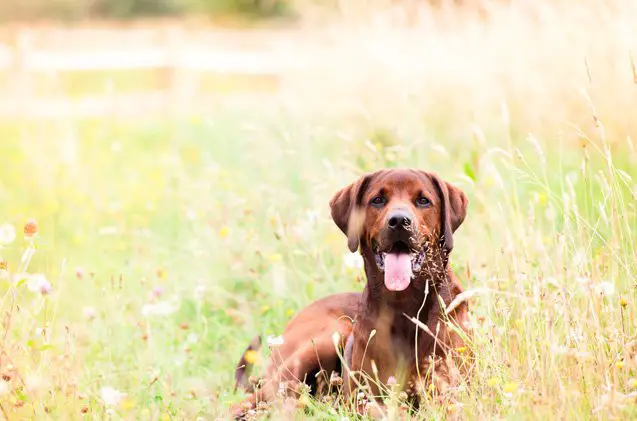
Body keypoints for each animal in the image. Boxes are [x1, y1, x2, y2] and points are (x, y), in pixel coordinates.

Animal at [231, 167, 470, 416]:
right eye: (377, 200)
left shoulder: (451, 393)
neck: (405, 305)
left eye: (423, 200)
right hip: (328, 337)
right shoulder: (364, 398)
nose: (398, 221)